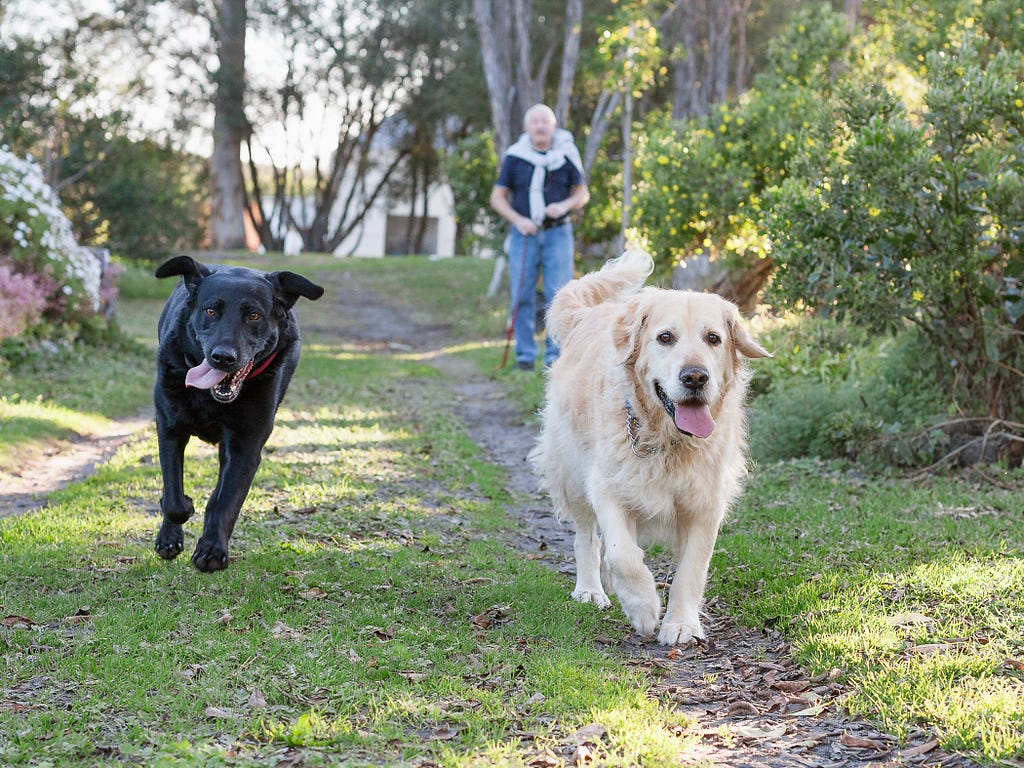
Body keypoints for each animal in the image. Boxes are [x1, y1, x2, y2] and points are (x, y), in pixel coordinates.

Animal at [148, 257, 321, 573]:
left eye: (254, 316)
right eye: (210, 310)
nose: (223, 357)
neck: (210, 396)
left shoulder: (246, 445)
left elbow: (226, 500)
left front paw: (212, 551)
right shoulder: (170, 428)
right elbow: (174, 499)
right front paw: (183, 510)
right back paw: (169, 537)